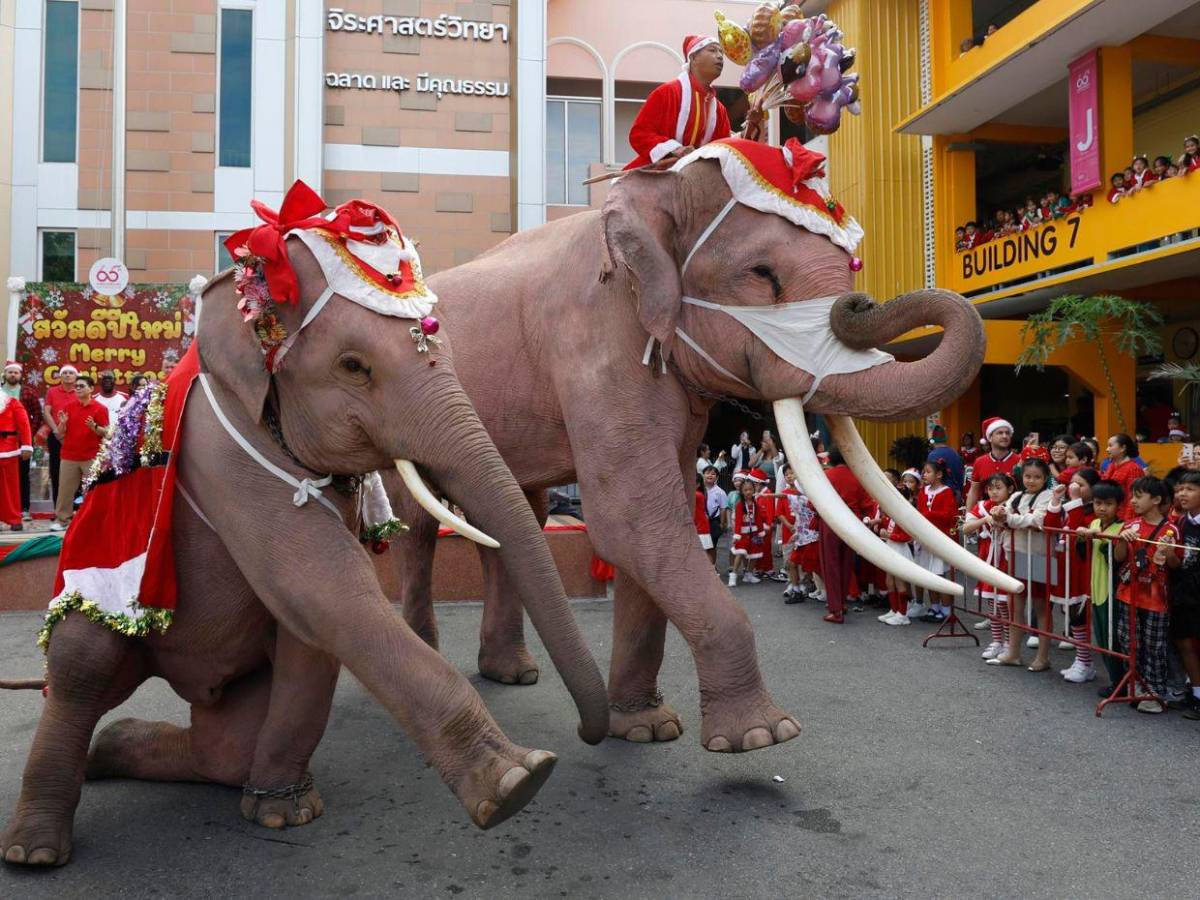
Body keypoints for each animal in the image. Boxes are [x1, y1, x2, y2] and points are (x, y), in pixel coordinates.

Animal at [2, 187, 609, 868]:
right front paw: (518, 784)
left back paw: (111, 751)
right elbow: (325, 588)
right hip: (100, 597)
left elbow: (312, 626)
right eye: (353, 366)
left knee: (224, 744)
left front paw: (283, 813)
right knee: (83, 670)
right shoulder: (223, 452)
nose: (588, 734)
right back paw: (34, 850)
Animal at [386, 139, 1022, 753]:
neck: (656, 192)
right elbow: (632, 520)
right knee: (417, 527)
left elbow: (651, 522)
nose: (859, 303)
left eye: (851, 265)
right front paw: (761, 736)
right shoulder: (595, 344)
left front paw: (647, 728)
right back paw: (431, 655)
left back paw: (512, 673)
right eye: (762, 273)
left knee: (515, 517)